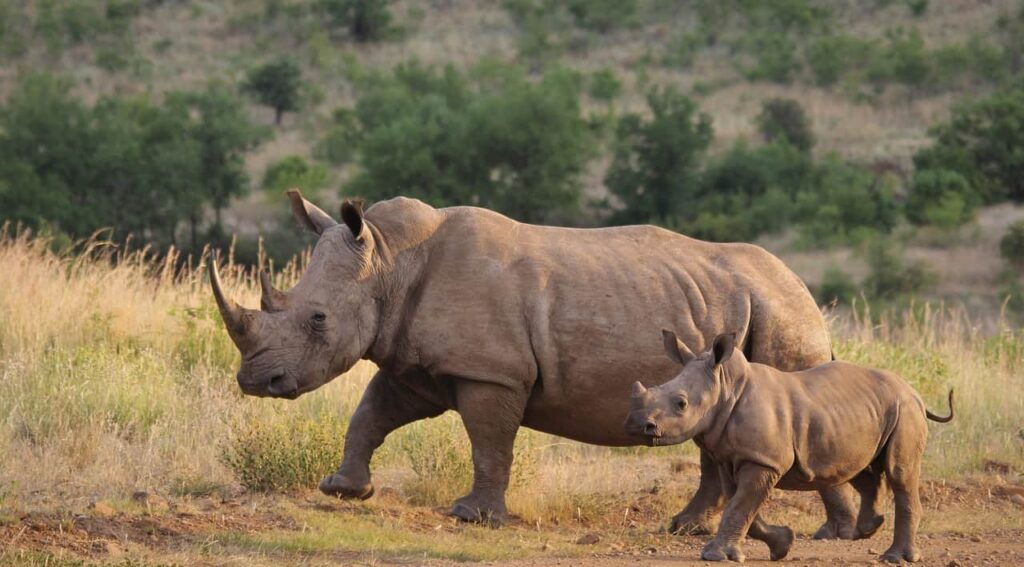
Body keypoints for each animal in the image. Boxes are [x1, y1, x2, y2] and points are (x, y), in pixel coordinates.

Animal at [626, 329, 954, 556]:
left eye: (681, 404)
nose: (636, 424)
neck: (726, 387)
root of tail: (914, 392)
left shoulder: (763, 460)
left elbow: (740, 505)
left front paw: (715, 555)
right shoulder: (732, 457)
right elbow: (742, 506)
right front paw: (783, 544)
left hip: (905, 410)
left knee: (899, 473)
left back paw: (895, 557)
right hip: (868, 412)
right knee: (859, 468)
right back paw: (867, 529)